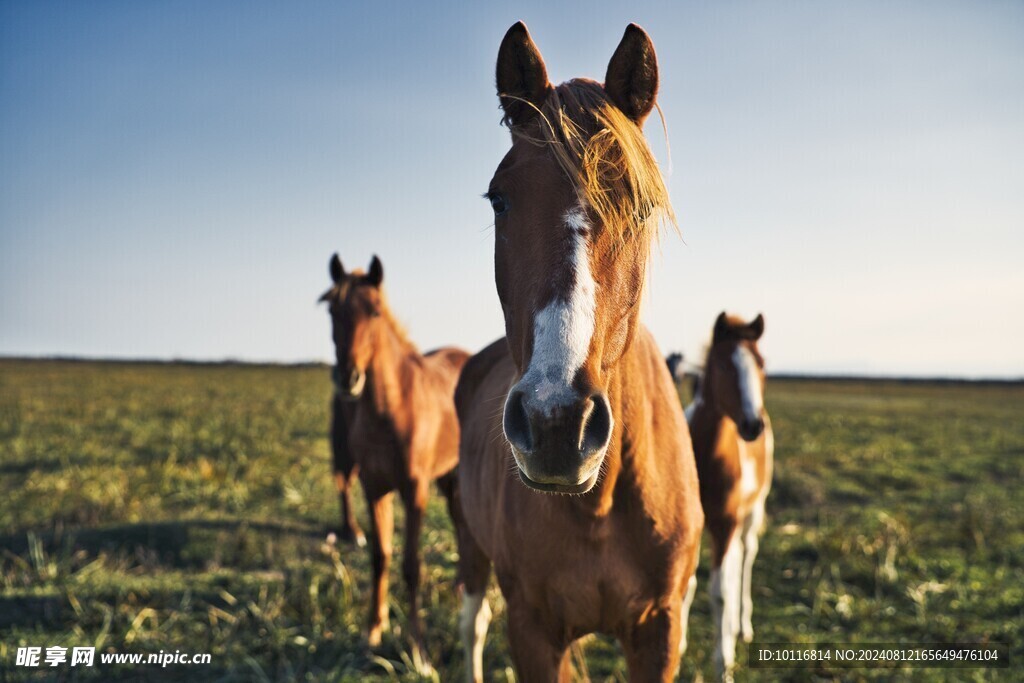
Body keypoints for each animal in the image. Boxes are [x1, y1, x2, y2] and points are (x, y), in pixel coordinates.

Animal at [317, 253, 468, 671]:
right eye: (332, 310)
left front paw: (418, 650)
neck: (393, 408)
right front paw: (373, 632)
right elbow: (380, 557)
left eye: (374, 311)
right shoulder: (375, 488)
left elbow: (411, 566)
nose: (348, 378)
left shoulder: (414, 491)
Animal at [454, 22, 704, 683]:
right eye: (499, 199)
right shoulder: (533, 631)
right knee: (471, 620)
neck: (602, 505)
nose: (556, 422)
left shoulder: (661, 629)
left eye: (642, 205)